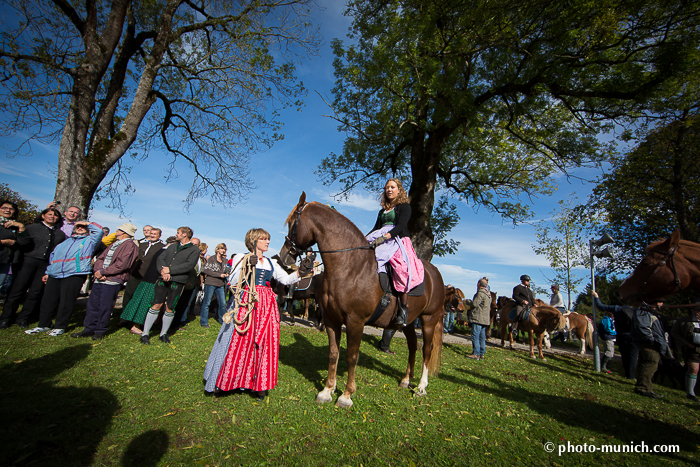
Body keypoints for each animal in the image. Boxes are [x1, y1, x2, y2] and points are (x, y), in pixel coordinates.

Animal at [278, 192, 442, 408]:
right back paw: (406, 380)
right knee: (413, 346)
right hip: (408, 322)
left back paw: (422, 386)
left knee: (427, 350)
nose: (283, 257)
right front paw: (327, 390)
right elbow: (333, 354)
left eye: (292, 223)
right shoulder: (331, 320)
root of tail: (435, 274)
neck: (350, 265)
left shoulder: (355, 321)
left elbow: (351, 356)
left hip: (429, 320)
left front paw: (346, 395)